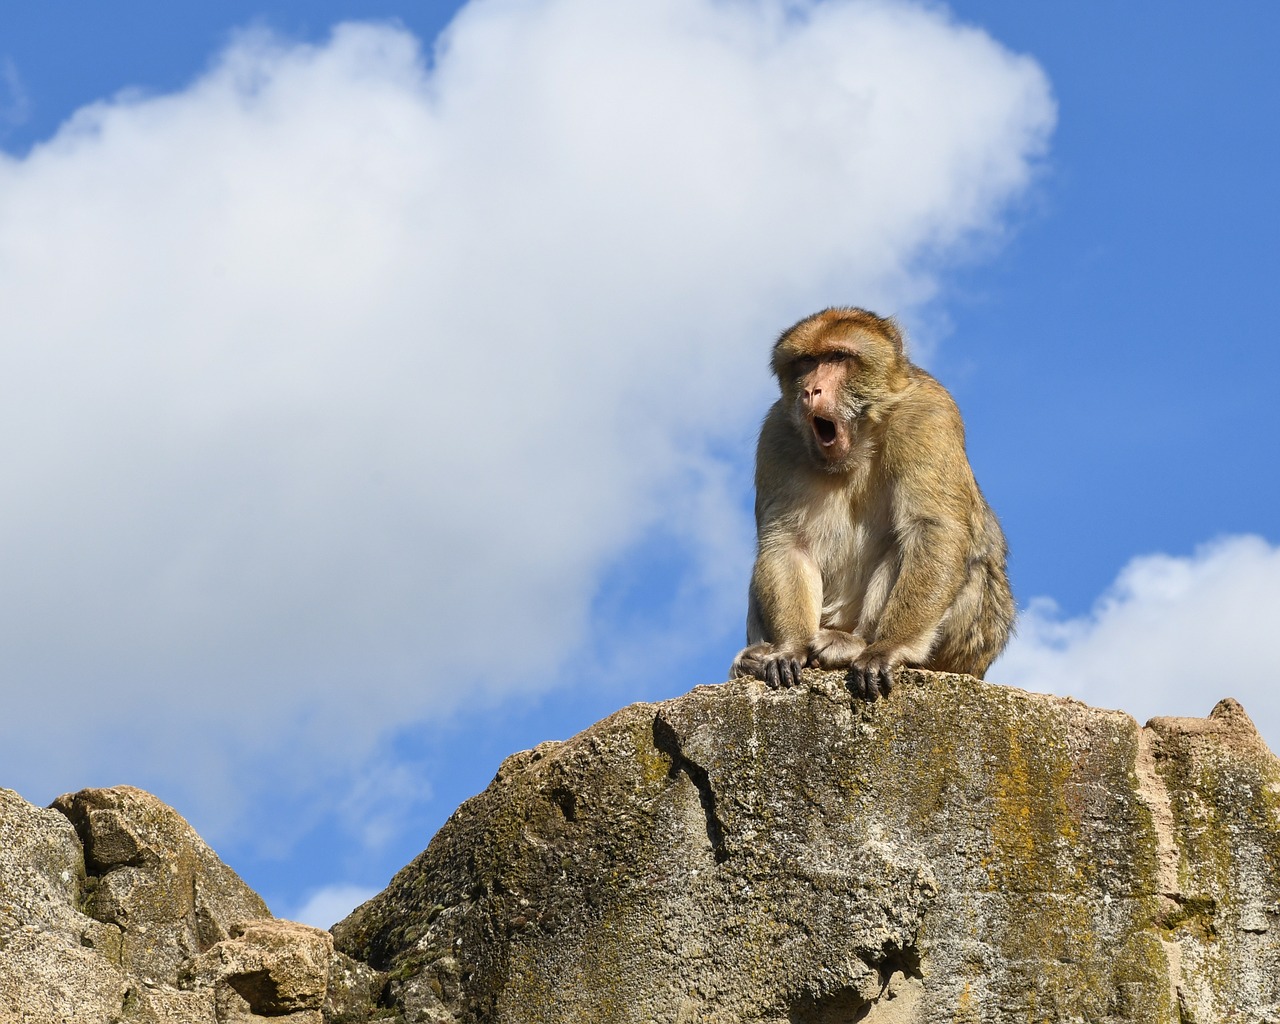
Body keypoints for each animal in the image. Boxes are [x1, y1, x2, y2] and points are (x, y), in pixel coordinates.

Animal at [737, 308, 1013, 701]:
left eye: (838, 357)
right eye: (807, 362)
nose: (810, 390)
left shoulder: (929, 415)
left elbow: (932, 528)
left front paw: (890, 647)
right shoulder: (776, 434)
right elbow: (787, 542)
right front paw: (791, 648)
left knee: (906, 544)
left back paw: (857, 643)